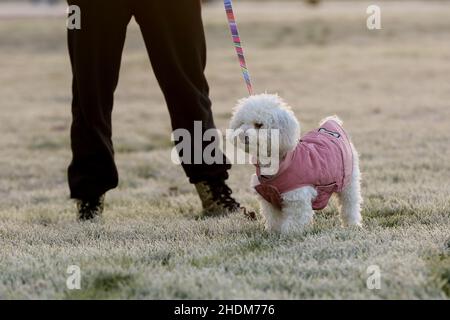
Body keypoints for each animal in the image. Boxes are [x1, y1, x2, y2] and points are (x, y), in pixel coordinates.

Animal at [229, 94, 362, 234]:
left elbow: (294, 221)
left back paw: (352, 225)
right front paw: (273, 232)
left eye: (259, 125)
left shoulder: (297, 198)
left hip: (348, 182)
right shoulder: (269, 198)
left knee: (350, 204)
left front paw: (289, 234)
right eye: (242, 123)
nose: (242, 135)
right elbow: (273, 218)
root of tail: (332, 123)